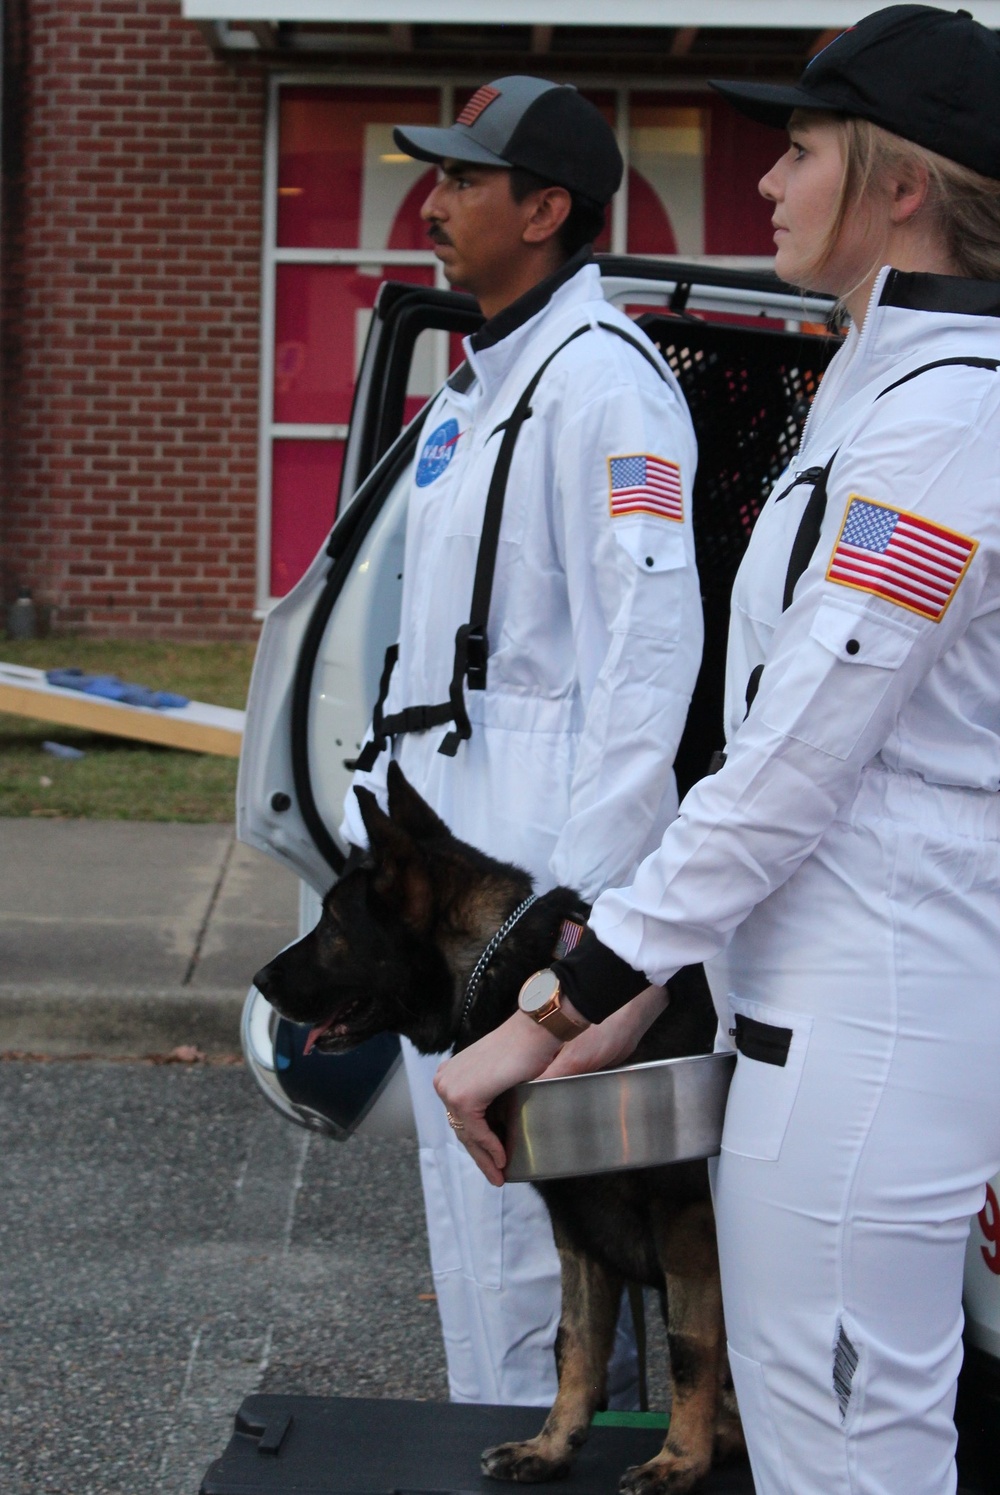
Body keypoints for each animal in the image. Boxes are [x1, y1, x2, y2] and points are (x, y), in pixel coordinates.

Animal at [254, 765, 744, 1489]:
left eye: (334, 925)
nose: (259, 978)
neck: (497, 968)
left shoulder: (687, 1223)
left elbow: (688, 1347)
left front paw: (678, 1461)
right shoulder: (576, 1227)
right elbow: (574, 1343)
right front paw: (552, 1446)